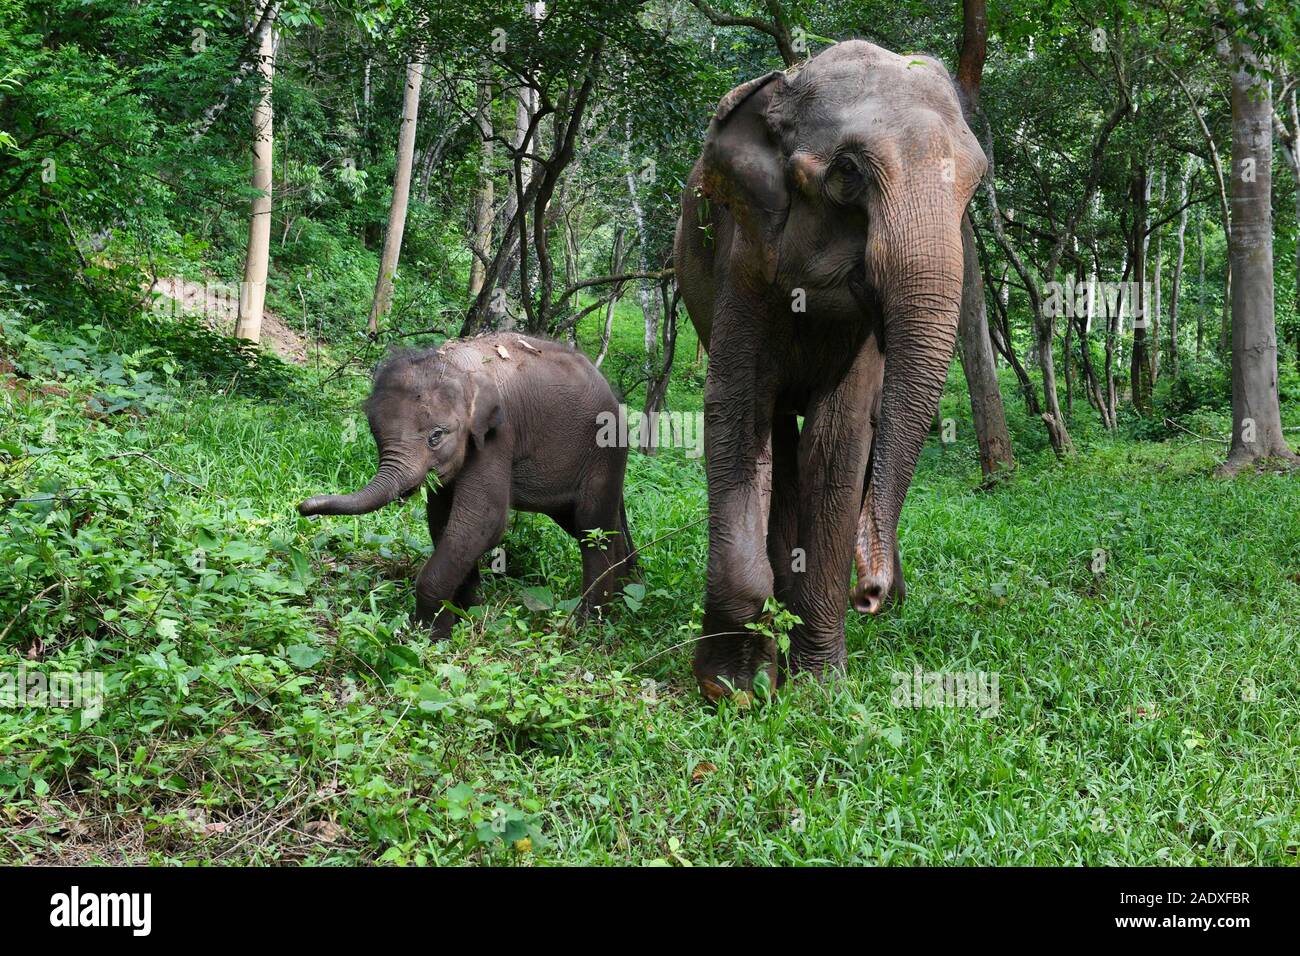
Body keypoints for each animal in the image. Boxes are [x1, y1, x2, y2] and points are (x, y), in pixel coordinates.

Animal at [299, 332, 634, 639]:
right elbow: (443, 521)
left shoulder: (499, 435)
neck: (457, 364)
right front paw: (467, 614)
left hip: (605, 450)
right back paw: (625, 599)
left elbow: (481, 521)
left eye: (436, 436)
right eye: (375, 434)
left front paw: (431, 635)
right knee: (591, 526)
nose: (304, 507)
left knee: (592, 528)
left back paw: (589, 626)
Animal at [681, 41, 982, 697]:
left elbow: (840, 436)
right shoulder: (743, 254)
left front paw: (819, 686)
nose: (866, 593)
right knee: (777, 434)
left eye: (976, 186)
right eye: (848, 173)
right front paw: (732, 685)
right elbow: (737, 416)